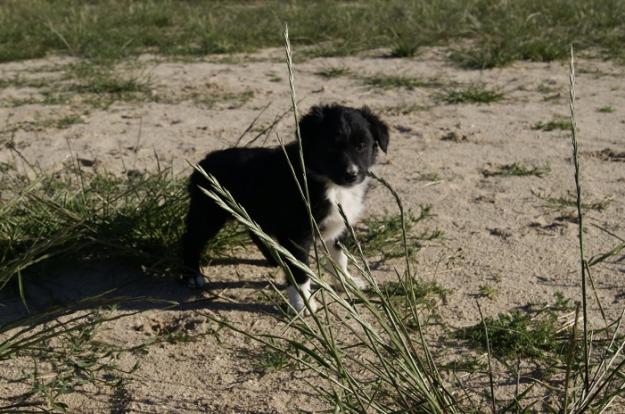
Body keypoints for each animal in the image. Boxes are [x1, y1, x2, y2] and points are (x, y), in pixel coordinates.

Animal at [179, 103, 390, 310]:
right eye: (331, 146)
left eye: (362, 146)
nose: (351, 174)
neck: (330, 184)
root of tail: (203, 162)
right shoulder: (297, 234)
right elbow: (299, 271)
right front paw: (302, 303)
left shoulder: (339, 225)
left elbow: (340, 258)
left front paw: (347, 282)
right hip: (209, 213)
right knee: (190, 239)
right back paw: (192, 275)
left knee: (255, 233)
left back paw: (276, 257)